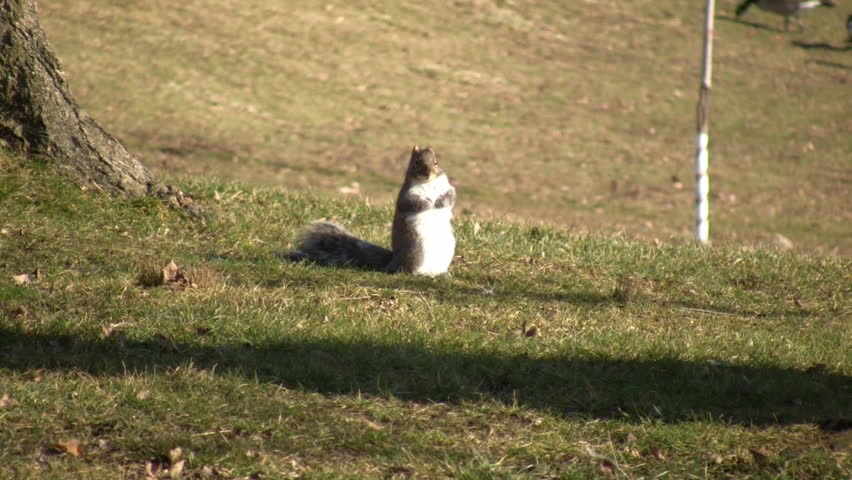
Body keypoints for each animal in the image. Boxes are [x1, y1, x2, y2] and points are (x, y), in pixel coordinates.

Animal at [288, 146, 456, 276]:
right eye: (416, 162)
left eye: (436, 163)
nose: (428, 174)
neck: (428, 184)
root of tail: (392, 262)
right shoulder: (406, 196)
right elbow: (413, 203)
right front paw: (428, 204)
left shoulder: (446, 186)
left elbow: (451, 194)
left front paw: (441, 201)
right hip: (416, 252)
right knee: (407, 271)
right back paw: (420, 274)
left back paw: (441, 274)